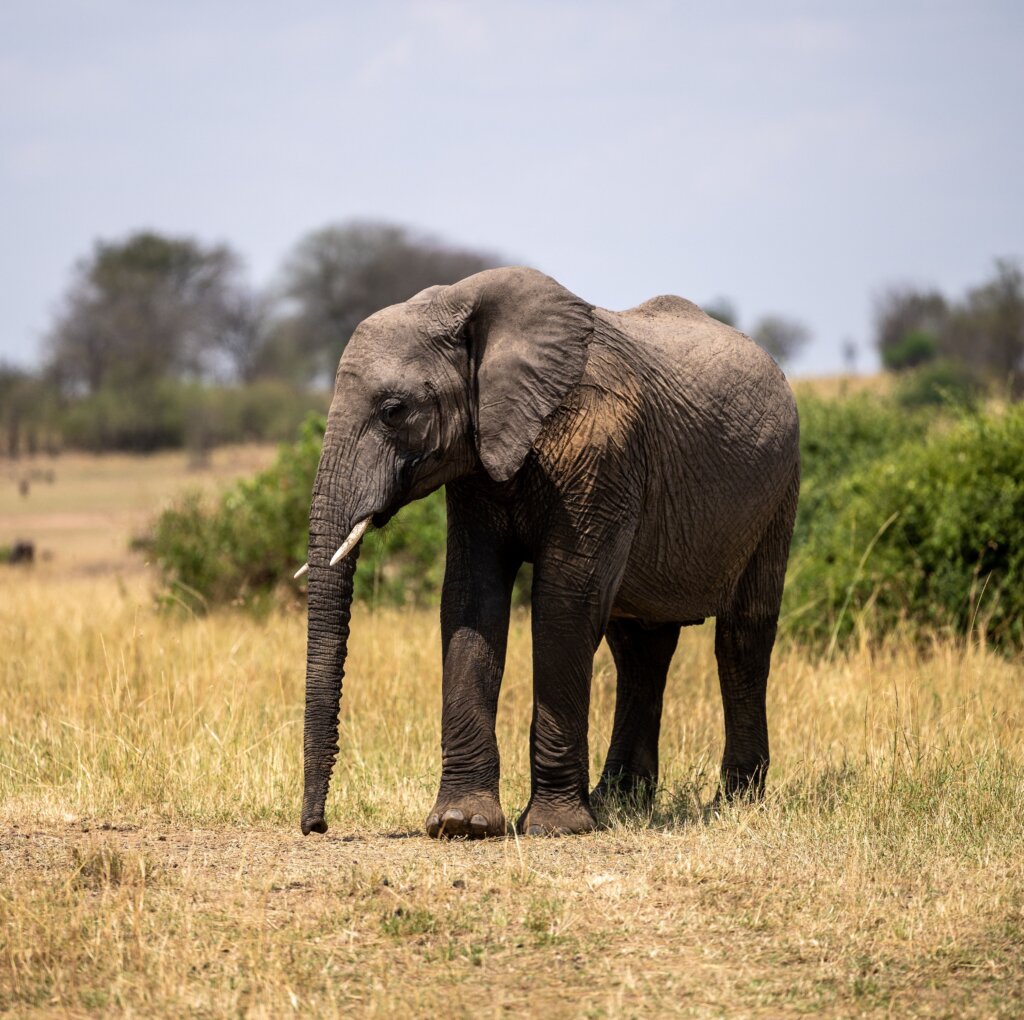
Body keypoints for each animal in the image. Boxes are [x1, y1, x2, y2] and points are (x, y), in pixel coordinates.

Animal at [299, 266, 802, 839]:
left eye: (393, 411)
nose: (316, 826)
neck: (459, 304)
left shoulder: (601, 449)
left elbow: (565, 603)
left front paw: (554, 827)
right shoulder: (479, 461)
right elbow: (472, 598)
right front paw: (462, 824)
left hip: (778, 492)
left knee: (742, 638)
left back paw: (736, 802)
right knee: (639, 646)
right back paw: (619, 801)